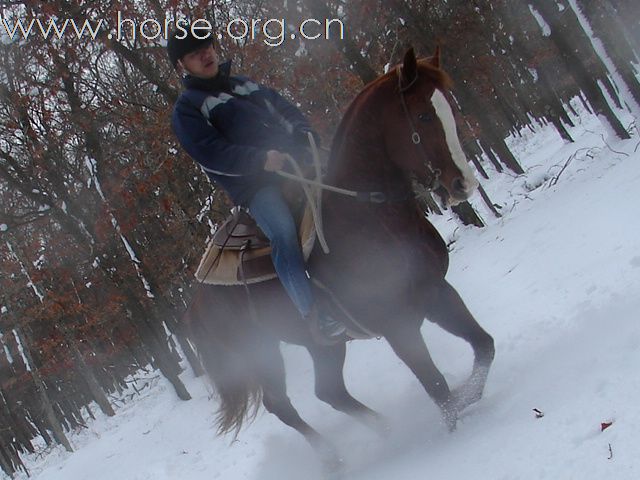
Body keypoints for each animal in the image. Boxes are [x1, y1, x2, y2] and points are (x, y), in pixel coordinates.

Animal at [185, 47, 496, 474]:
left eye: (447, 105)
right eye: (422, 116)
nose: (464, 184)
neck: (368, 216)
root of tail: (198, 296)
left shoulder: (436, 292)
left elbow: (483, 346)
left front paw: (469, 392)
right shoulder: (397, 324)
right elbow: (437, 388)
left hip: (321, 344)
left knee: (329, 391)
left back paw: (386, 428)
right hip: (263, 354)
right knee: (282, 405)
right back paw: (334, 457)